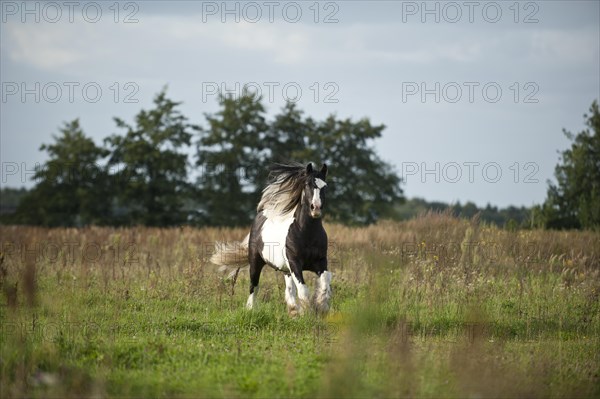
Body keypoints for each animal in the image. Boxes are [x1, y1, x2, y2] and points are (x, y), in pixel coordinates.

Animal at [210, 162, 332, 316]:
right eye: (306, 184)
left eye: (325, 186)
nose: (315, 208)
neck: (307, 234)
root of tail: (261, 215)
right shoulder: (295, 263)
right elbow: (303, 290)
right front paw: (308, 313)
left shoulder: (321, 262)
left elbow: (325, 283)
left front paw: (321, 306)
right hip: (256, 262)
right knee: (254, 286)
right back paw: (251, 309)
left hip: (286, 270)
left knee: (289, 290)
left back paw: (293, 311)